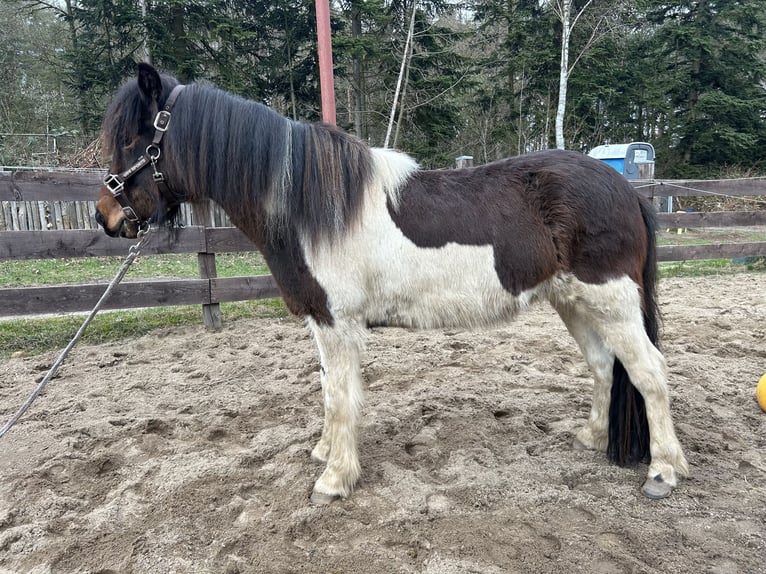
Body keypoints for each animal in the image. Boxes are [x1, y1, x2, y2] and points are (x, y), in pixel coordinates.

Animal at [95, 63, 688, 503]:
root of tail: (624, 187)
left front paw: (334, 480)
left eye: (134, 139)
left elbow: (341, 397)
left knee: (649, 373)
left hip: (611, 300)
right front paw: (325, 453)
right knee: (605, 366)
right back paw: (592, 438)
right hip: (574, 301)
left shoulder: (339, 323)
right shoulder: (322, 322)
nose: (106, 216)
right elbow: (329, 390)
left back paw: (663, 472)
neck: (310, 205)